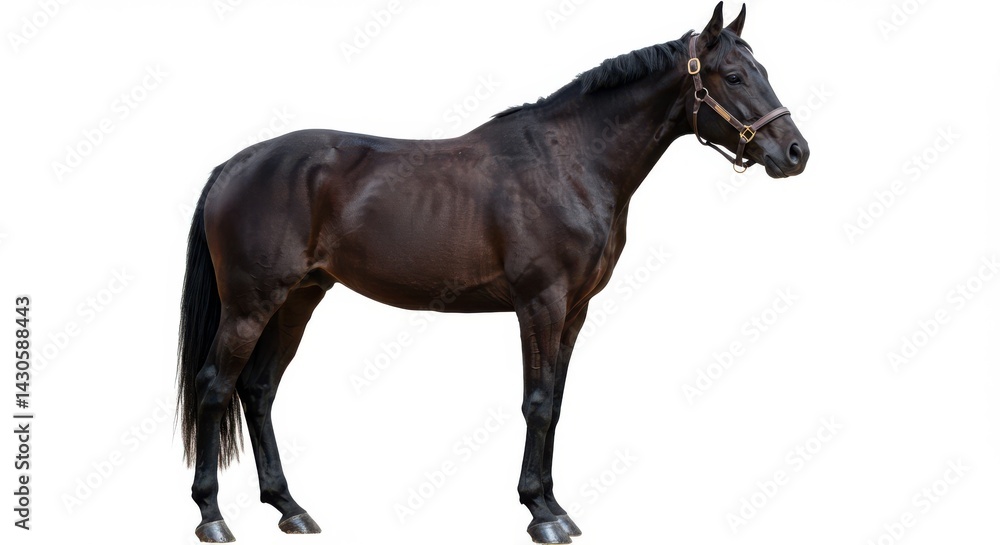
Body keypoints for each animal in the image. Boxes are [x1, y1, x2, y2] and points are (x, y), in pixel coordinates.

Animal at [177, 3, 809, 543]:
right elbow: (537, 401)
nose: (796, 152)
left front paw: (555, 506)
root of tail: (235, 164)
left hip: (298, 300)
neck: (570, 162)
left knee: (258, 390)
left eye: (763, 70)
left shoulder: (574, 311)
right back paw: (212, 516)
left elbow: (557, 403)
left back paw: (290, 508)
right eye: (733, 76)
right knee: (215, 387)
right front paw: (539, 514)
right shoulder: (540, 303)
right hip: (250, 305)